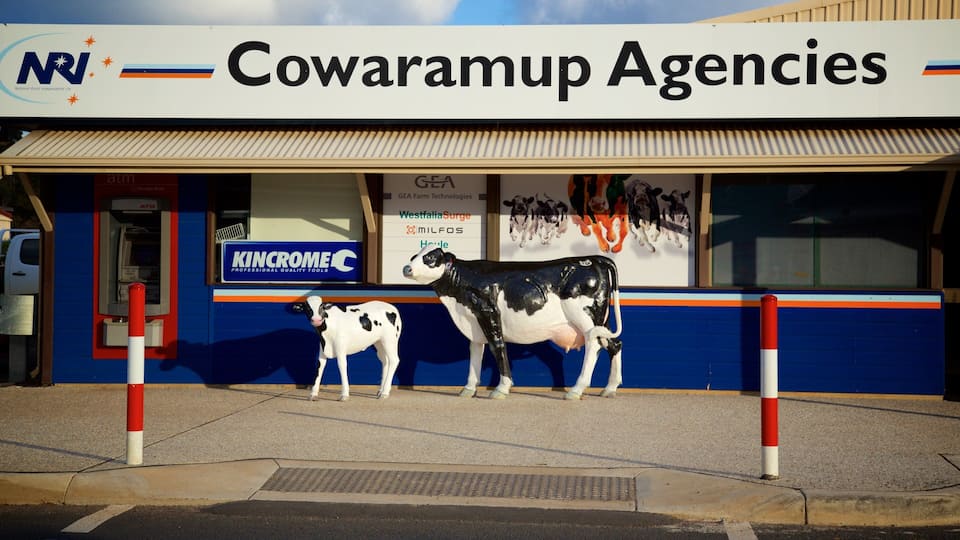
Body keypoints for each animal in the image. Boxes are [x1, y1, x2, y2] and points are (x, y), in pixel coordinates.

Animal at [402, 246, 623, 400]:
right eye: (413, 256)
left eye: (429, 258)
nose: (407, 268)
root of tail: (594, 259)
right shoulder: (473, 322)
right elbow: (475, 350)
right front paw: (469, 388)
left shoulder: (488, 312)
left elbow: (497, 347)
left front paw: (501, 388)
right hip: (601, 318)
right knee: (614, 344)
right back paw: (610, 388)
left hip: (585, 317)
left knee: (594, 345)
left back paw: (576, 390)